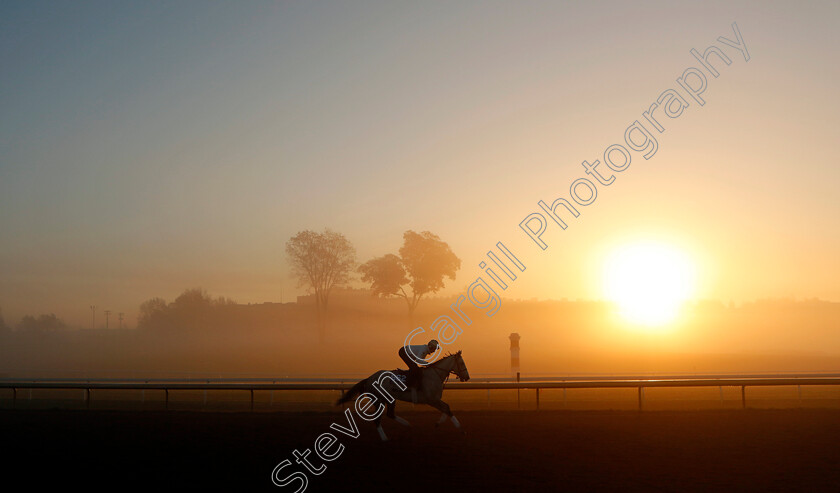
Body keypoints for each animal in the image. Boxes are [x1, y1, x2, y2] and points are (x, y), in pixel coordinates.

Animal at [334, 348, 470, 440]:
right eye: (462, 363)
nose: (467, 377)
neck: (434, 375)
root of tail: (369, 378)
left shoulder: (435, 400)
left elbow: (446, 409)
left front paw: (438, 424)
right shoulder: (431, 400)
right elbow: (447, 408)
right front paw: (461, 429)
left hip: (390, 399)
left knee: (390, 414)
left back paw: (408, 425)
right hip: (378, 400)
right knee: (377, 419)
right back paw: (385, 438)